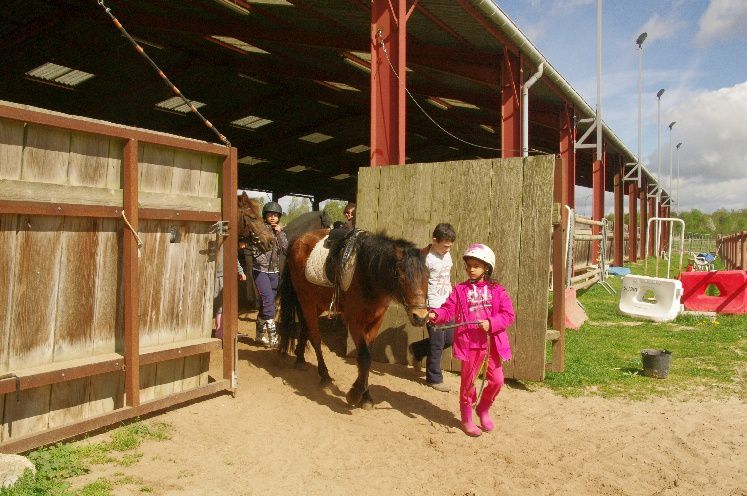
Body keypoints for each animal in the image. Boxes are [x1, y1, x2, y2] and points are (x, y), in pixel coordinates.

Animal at [278, 231, 430, 408]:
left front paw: (366, 396)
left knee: (305, 327)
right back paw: (324, 375)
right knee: (315, 337)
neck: (367, 274)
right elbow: (364, 357)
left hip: (317, 303)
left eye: (427, 277)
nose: (420, 317)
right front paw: (355, 394)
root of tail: (298, 239)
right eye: (402, 278)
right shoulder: (354, 321)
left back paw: (300, 359)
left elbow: (367, 356)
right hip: (306, 299)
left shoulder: (376, 321)